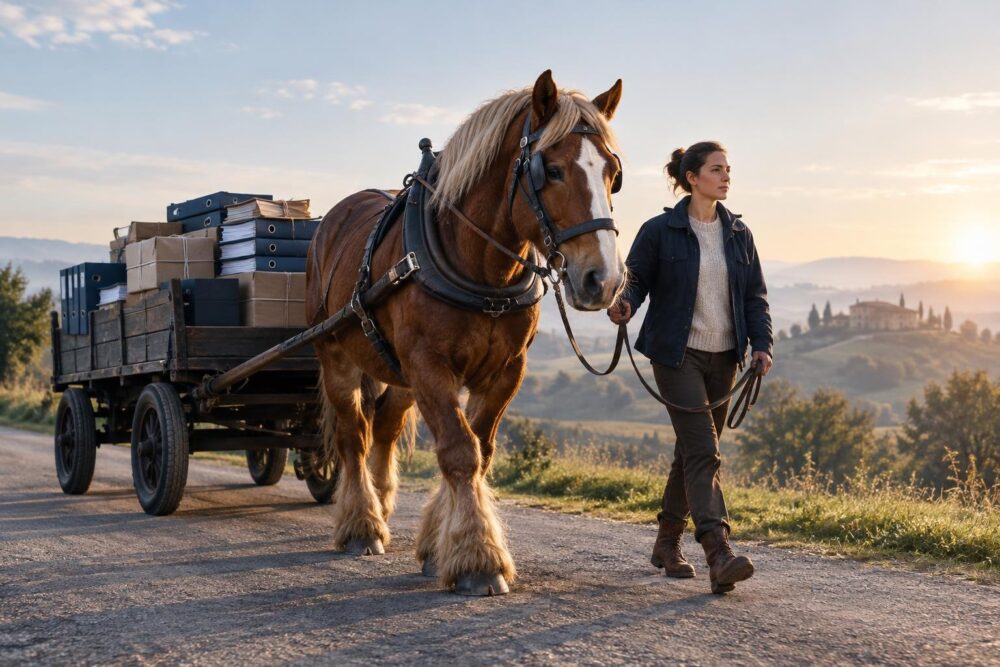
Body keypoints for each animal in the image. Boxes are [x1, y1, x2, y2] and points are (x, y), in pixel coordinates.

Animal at [305, 70, 625, 595]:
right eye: (552, 171)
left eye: (612, 173)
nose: (605, 280)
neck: (481, 268)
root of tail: (334, 217)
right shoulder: (429, 365)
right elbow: (460, 452)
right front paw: (479, 557)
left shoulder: (504, 371)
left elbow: (481, 448)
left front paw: (440, 543)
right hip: (336, 356)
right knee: (355, 436)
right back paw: (361, 523)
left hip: (397, 373)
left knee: (385, 428)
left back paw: (383, 503)